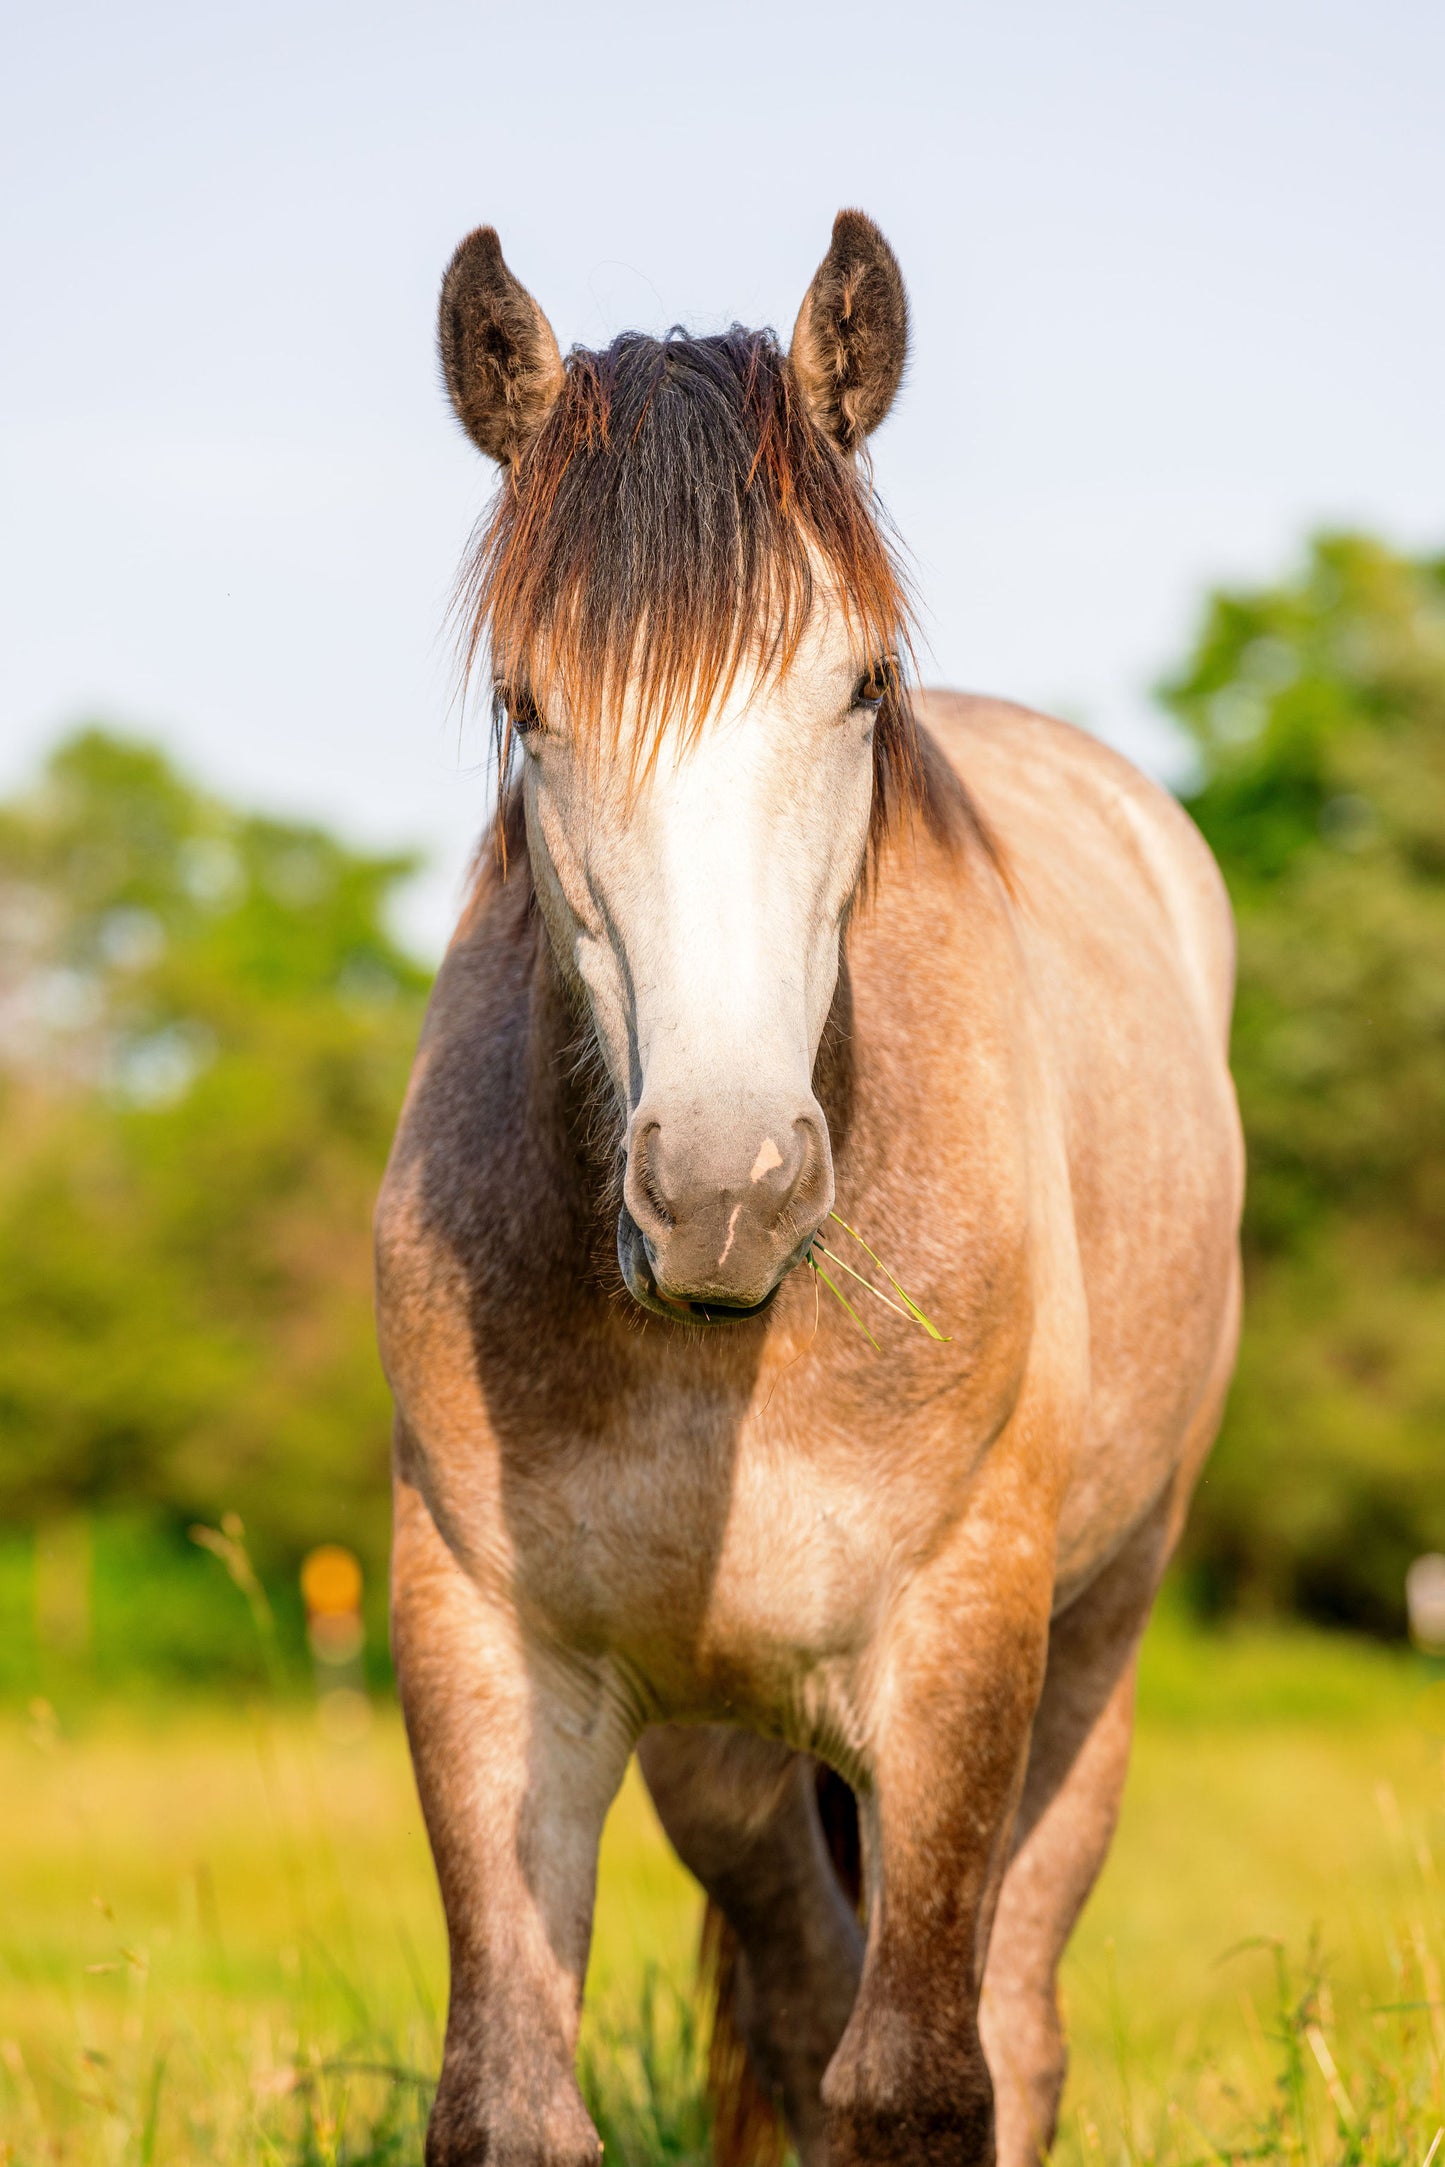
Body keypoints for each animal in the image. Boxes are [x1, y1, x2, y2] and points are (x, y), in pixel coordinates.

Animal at [379, 206, 1247, 2167]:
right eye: (527, 705)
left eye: (861, 687)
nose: (725, 1186)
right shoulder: (488, 1654)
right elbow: (514, 2098)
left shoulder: (956, 1662)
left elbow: (925, 2077)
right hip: (724, 1744)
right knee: (792, 1986)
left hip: (1093, 1649)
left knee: (1011, 2014)